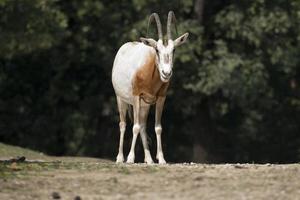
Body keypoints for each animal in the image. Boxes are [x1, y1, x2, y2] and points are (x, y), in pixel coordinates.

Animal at [111, 11, 189, 164]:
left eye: (174, 49)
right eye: (157, 50)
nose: (166, 73)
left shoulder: (161, 98)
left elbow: (157, 128)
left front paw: (162, 159)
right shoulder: (136, 95)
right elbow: (134, 127)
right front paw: (130, 158)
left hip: (145, 105)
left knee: (142, 125)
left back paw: (149, 159)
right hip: (121, 99)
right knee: (123, 124)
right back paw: (120, 158)